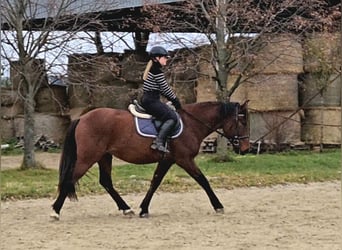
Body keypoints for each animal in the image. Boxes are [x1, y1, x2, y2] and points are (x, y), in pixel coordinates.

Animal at [50, 100, 248, 220]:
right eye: (242, 122)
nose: (246, 149)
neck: (191, 124)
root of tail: (82, 117)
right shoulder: (184, 159)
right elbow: (203, 180)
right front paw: (218, 206)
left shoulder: (167, 160)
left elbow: (155, 182)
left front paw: (143, 209)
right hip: (88, 158)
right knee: (69, 179)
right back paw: (55, 211)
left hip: (104, 156)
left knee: (105, 181)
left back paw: (126, 208)